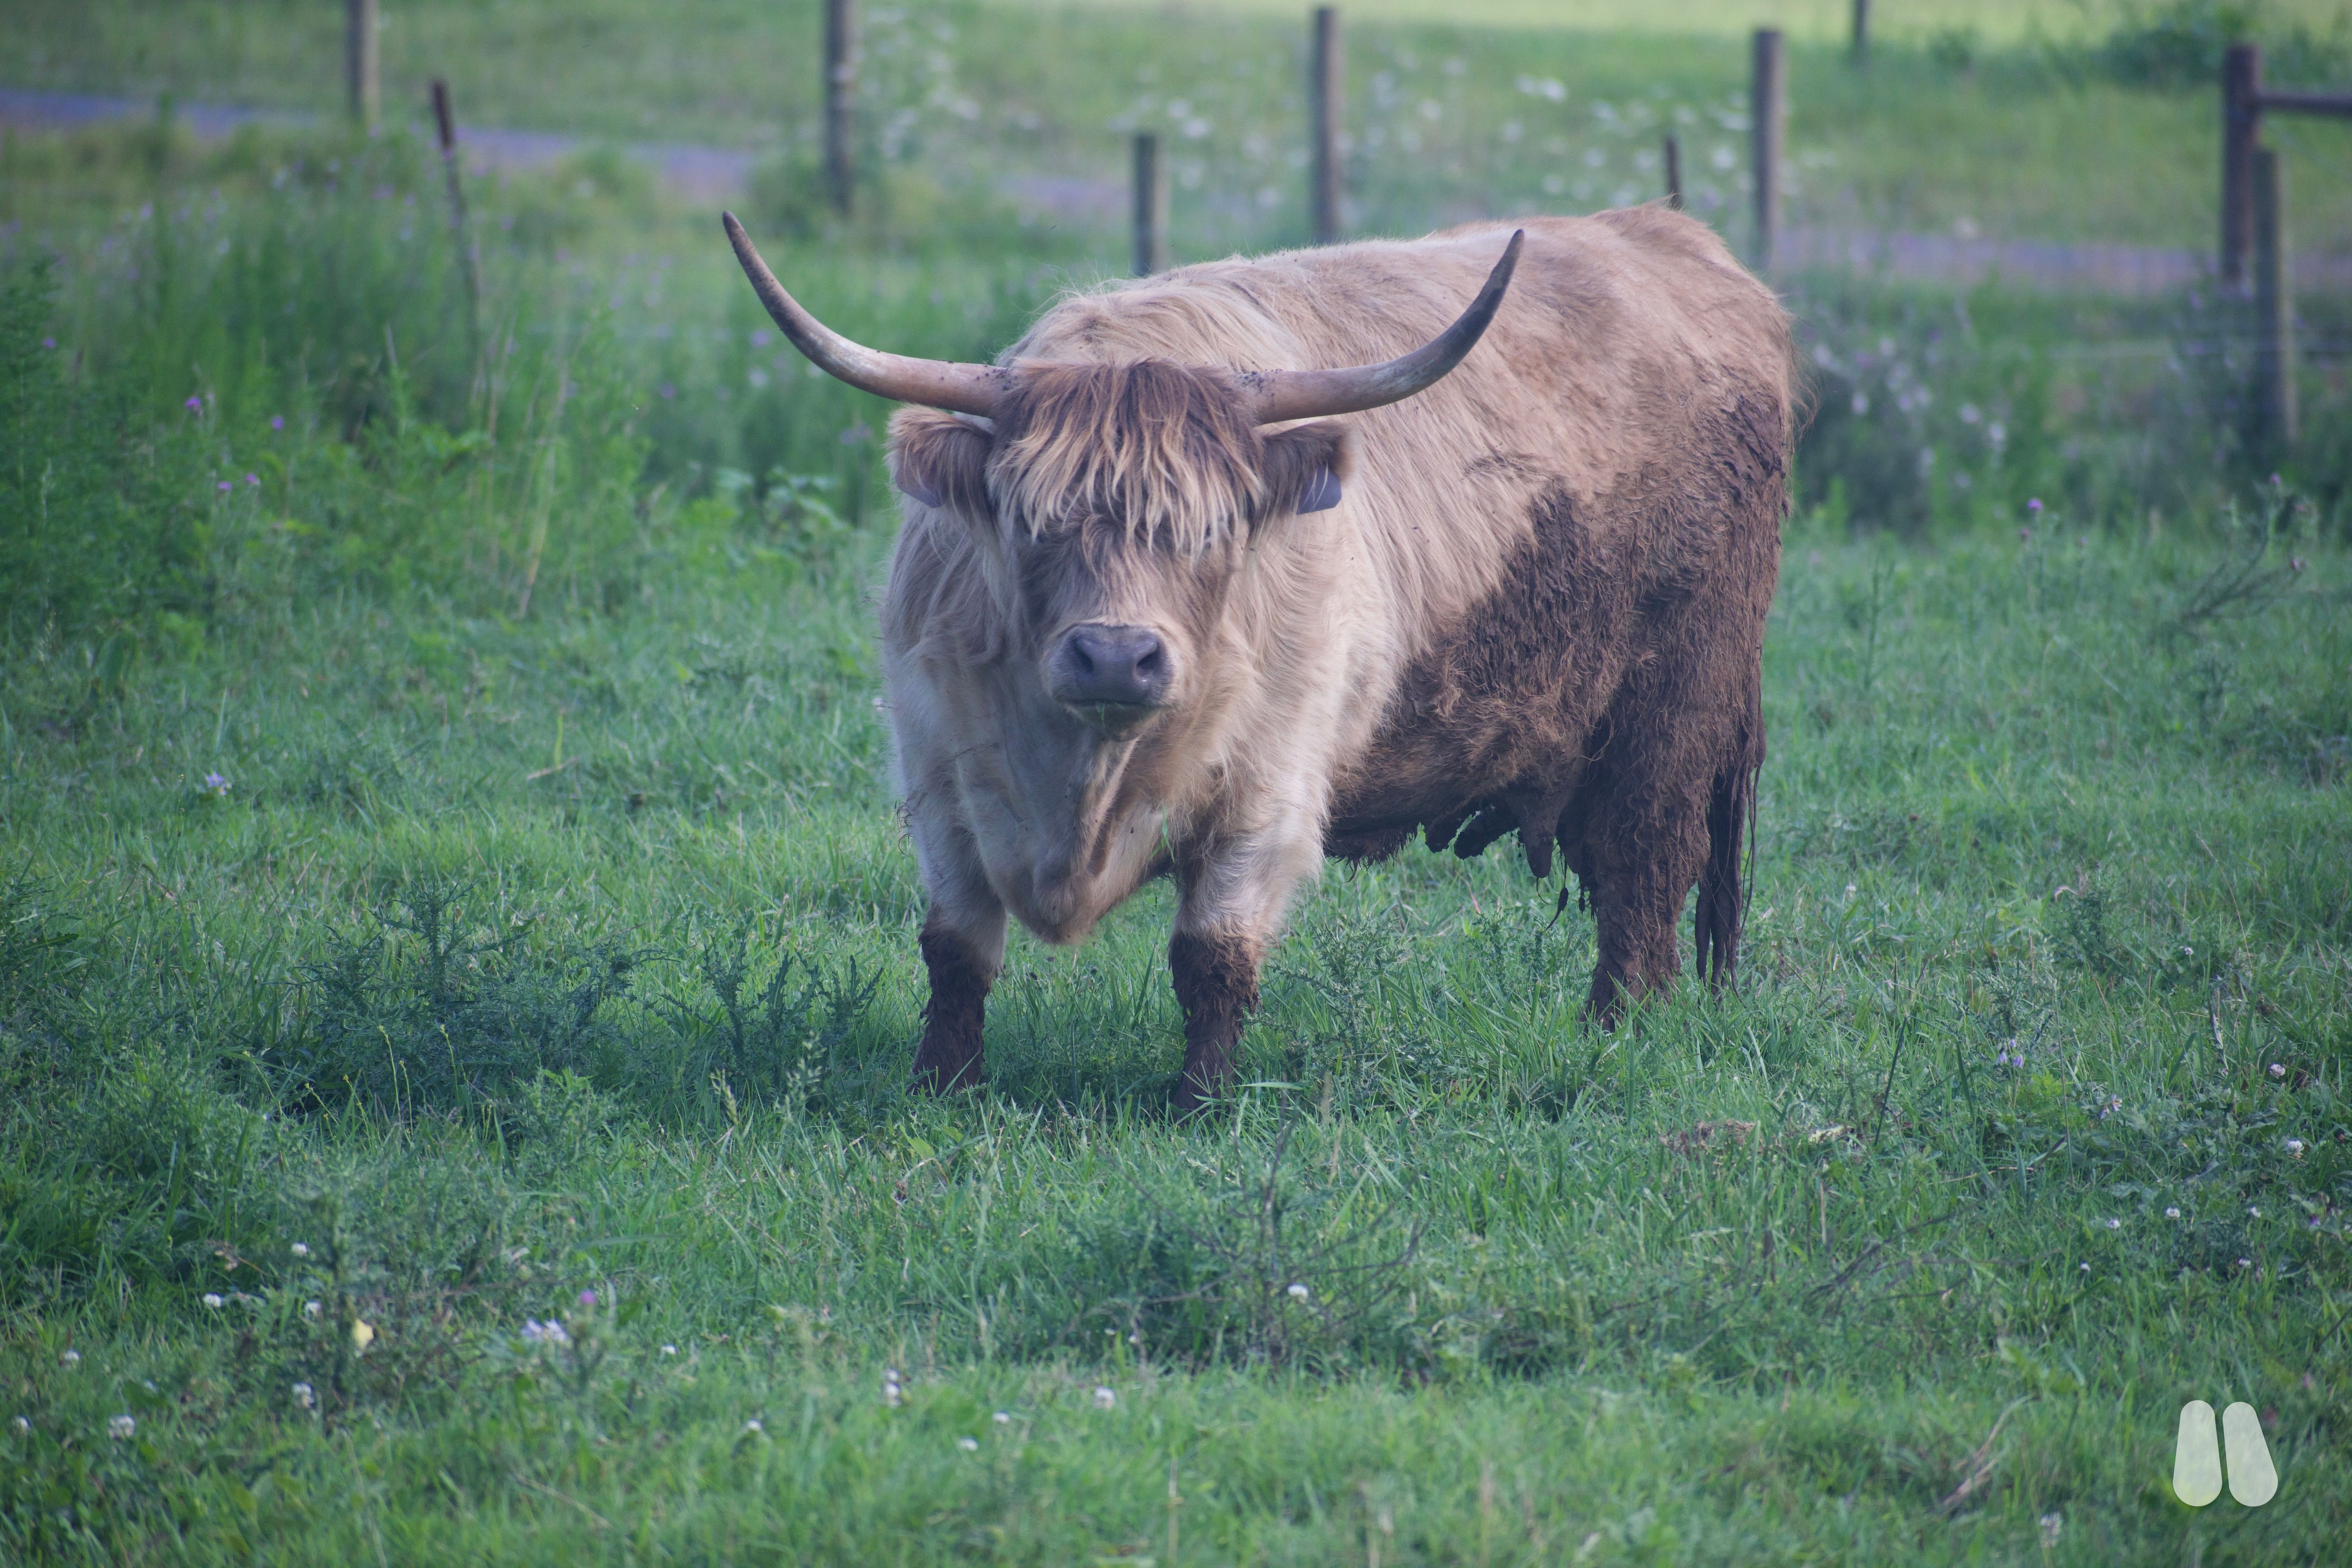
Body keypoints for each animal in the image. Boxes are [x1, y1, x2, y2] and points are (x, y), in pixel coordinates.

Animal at [723, 207, 1791, 1110]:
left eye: (1210, 531)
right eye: (1033, 525)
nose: (1116, 659)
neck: (1085, 784)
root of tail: (1679, 244)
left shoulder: (1267, 790)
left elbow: (1212, 954)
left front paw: (1200, 1099)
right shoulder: (938, 774)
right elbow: (954, 949)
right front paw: (941, 1085)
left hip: (1676, 711)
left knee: (1645, 864)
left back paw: (1619, 1028)